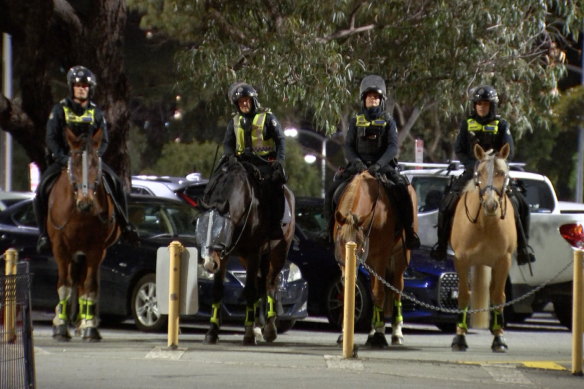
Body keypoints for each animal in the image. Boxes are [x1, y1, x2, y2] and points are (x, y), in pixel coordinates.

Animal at [47, 126, 121, 340]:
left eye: (96, 162)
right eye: (74, 162)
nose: (85, 203)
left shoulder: (96, 250)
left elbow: (89, 286)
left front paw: (89, 326)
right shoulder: (60, 248)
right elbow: (64, 284)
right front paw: (60, 325)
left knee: (82, 282)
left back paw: (82, 323)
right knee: (72, 280)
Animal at [197, 156, 296, 344]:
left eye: (221, 231)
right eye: (201, 228)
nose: (209, 264)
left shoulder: (254, 252)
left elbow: (250, 290)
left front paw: (248, 334)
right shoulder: (225, 255)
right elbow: (218, 290)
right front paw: (212, 331)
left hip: (279, 251)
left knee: (271, 283)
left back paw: (269, 328)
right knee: (261, 283)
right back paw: (259, 325)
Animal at [334, 171, 416, 348]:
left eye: (359, 245)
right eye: (340, 242)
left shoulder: (380, 258)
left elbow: (379, 293)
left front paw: (379, 334)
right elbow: (348, 290)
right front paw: (344, 333)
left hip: (399, 258)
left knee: (396, 288)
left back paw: (396, 332)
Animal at [450, 142, 516, 352]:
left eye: (502, 173)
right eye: (479, 173)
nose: (490, 204)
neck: (485, 223)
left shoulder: (504, 261)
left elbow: (499, 296)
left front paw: (499, 338)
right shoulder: (461, 260)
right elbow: (464, 295)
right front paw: (459, 338)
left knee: (495, 292)